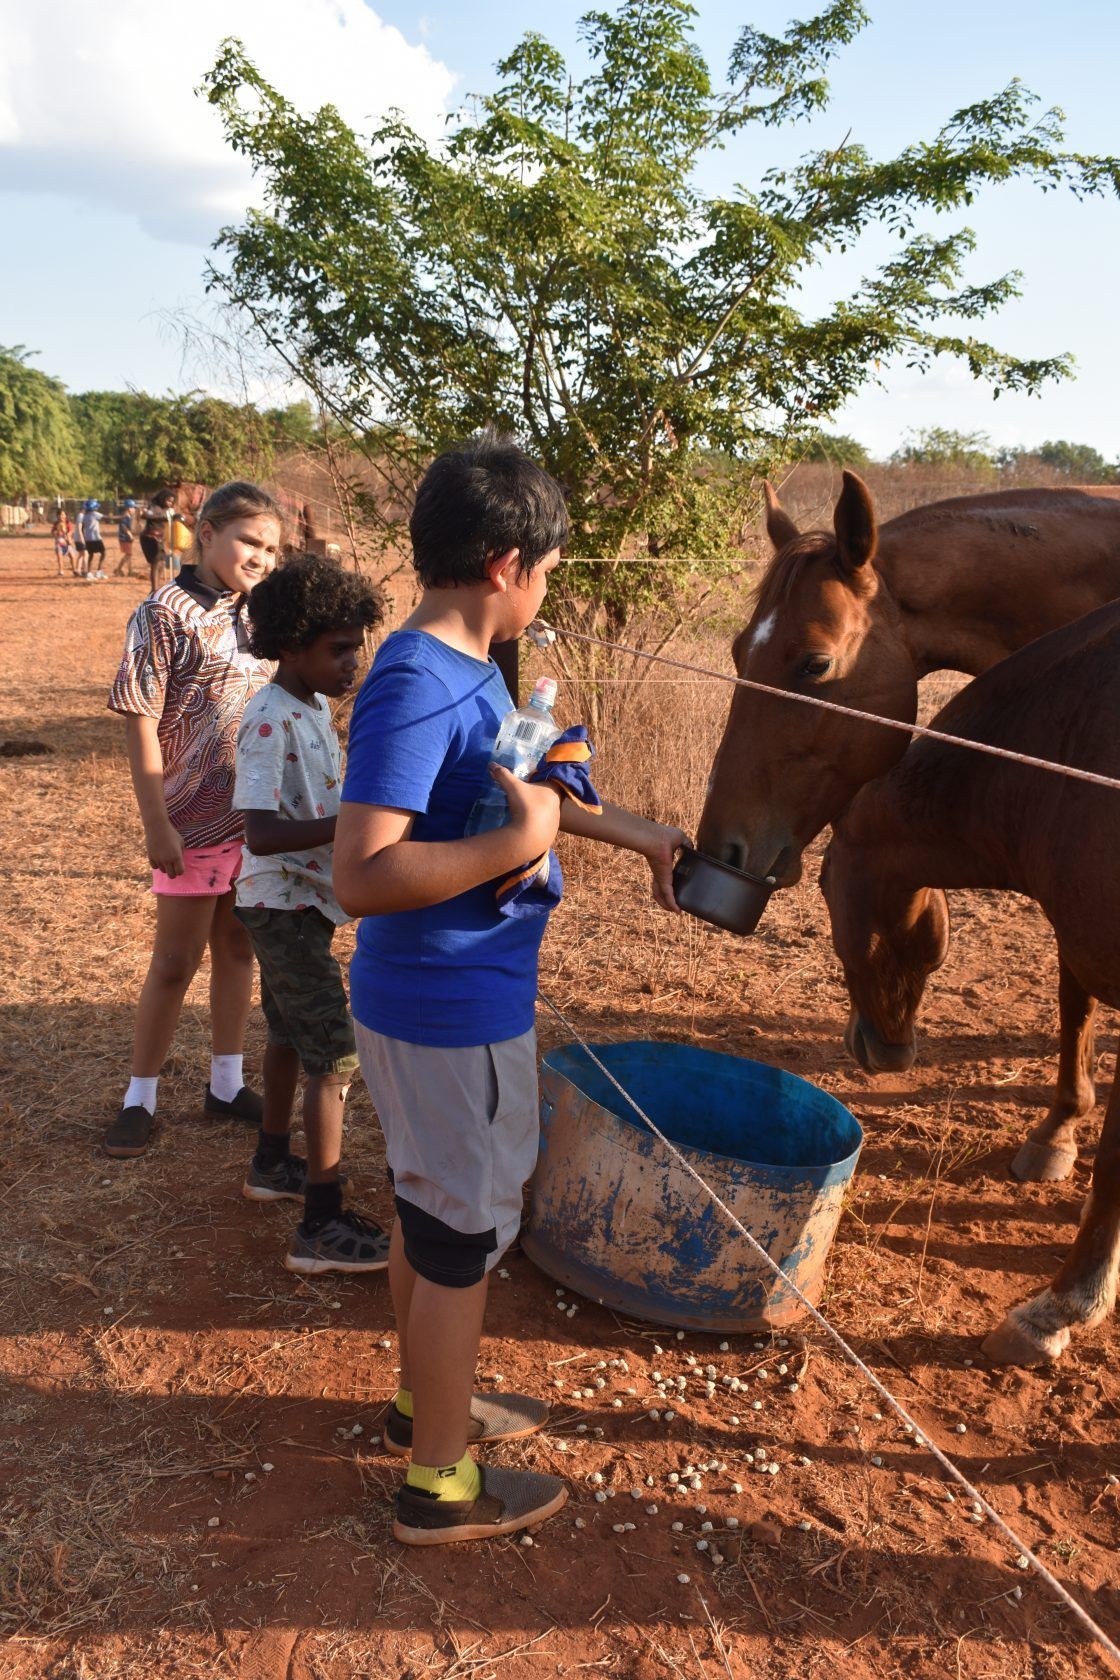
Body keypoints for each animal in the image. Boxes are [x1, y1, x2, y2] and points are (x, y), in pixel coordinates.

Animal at [698, 473, 1120, 1181]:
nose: (720, 847)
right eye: (737, 651)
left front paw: (1056, 1130)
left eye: (813, 665)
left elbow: (1074, 989)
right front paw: (1061, 1125)